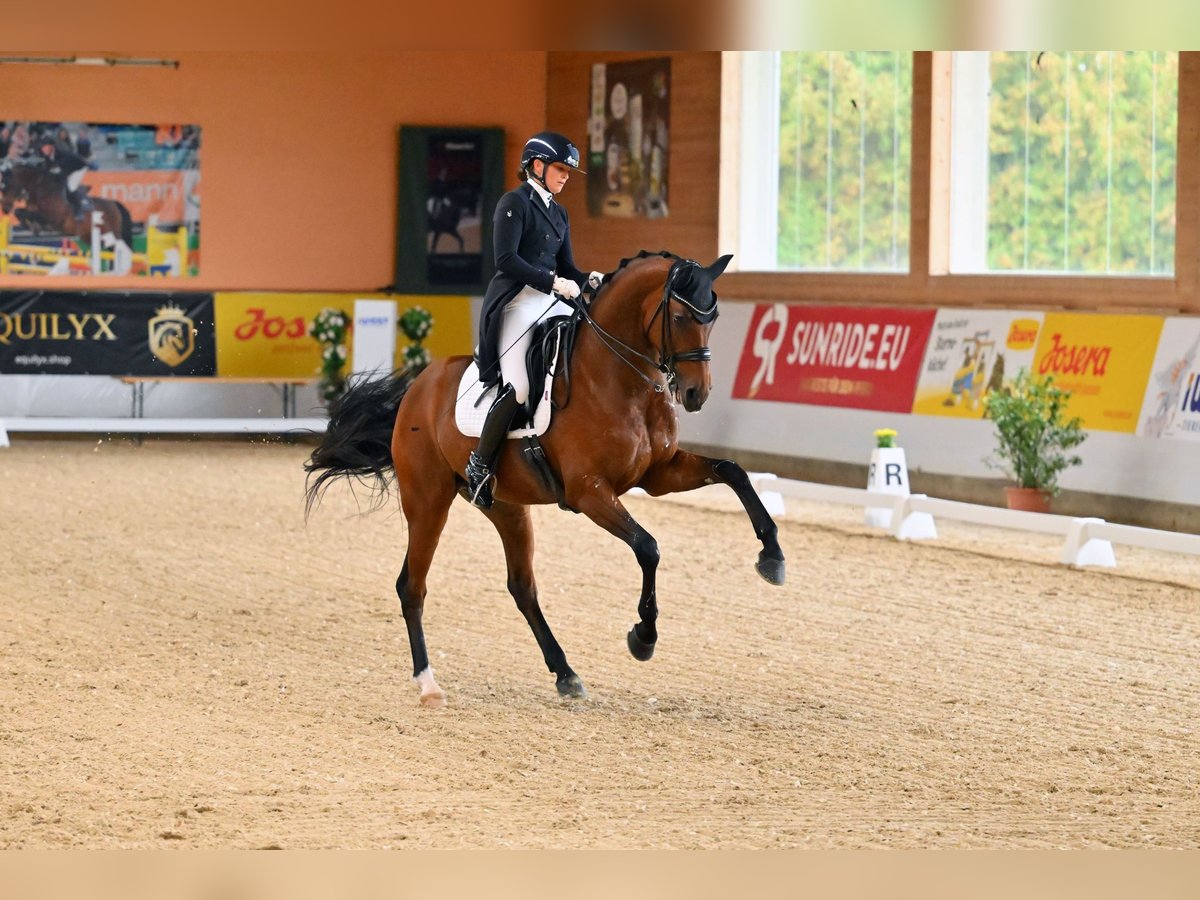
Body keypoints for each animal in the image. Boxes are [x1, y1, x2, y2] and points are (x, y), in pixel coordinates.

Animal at [0, 160, 132, 250]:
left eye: (8, 185)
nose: (5, 209)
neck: (41, 188)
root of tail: (114, 204)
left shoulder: (54, 218)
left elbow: (30, 214)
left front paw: (35, 227)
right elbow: (20, 212)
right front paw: (32, 227)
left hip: (111, 235)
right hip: (91, 237)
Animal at [304, 250, 782, 710]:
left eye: (713, 317)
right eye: (681, 317)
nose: (697, 394)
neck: (618, 377)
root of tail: (417, 388)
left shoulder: (658, 473)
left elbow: (733, 471)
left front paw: (772, 558)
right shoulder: (589, 492)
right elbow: (648, 547)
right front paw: (642, 638)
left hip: (507, 508)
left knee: (522, 588)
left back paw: (565, 674)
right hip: (428, 503)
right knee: (412, 586)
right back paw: (428, 684)